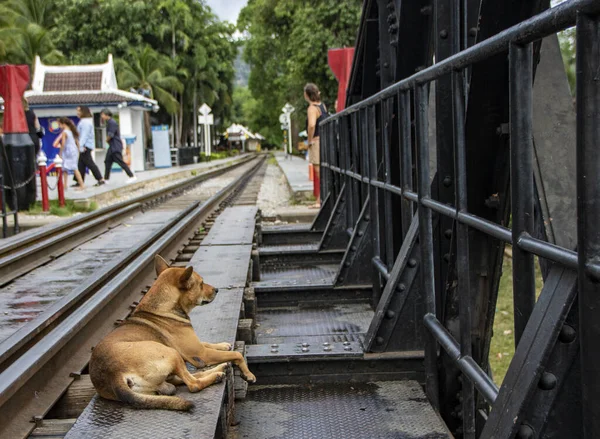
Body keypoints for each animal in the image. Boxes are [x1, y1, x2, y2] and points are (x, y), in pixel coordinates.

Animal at [89, 254, 255, 412]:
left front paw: (223, 345)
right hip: (171, 353)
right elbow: (237, 354)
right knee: (193, 383)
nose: (216, 290)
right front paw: (248, 374)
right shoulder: (201, 354)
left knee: (183, 378)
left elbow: (207, 342)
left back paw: (220, 369)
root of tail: (113, 376)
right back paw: (215, 375)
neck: (162, 308)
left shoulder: (197, 346)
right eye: (201, 284)